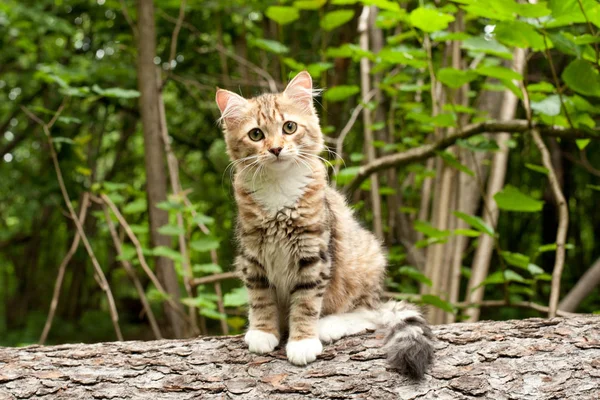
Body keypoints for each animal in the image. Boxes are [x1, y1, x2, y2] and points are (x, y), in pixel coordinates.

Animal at [216, 70, 436, 380]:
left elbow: (306, 303)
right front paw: (262, 331)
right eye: (256, 134)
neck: (278, 188)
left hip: (365, 262)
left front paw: (302, 342)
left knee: (369, 314)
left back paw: (328, 326)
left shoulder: (313, 254)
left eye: (289, 127)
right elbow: (260, 298)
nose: (276, 149)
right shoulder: (252, 254)